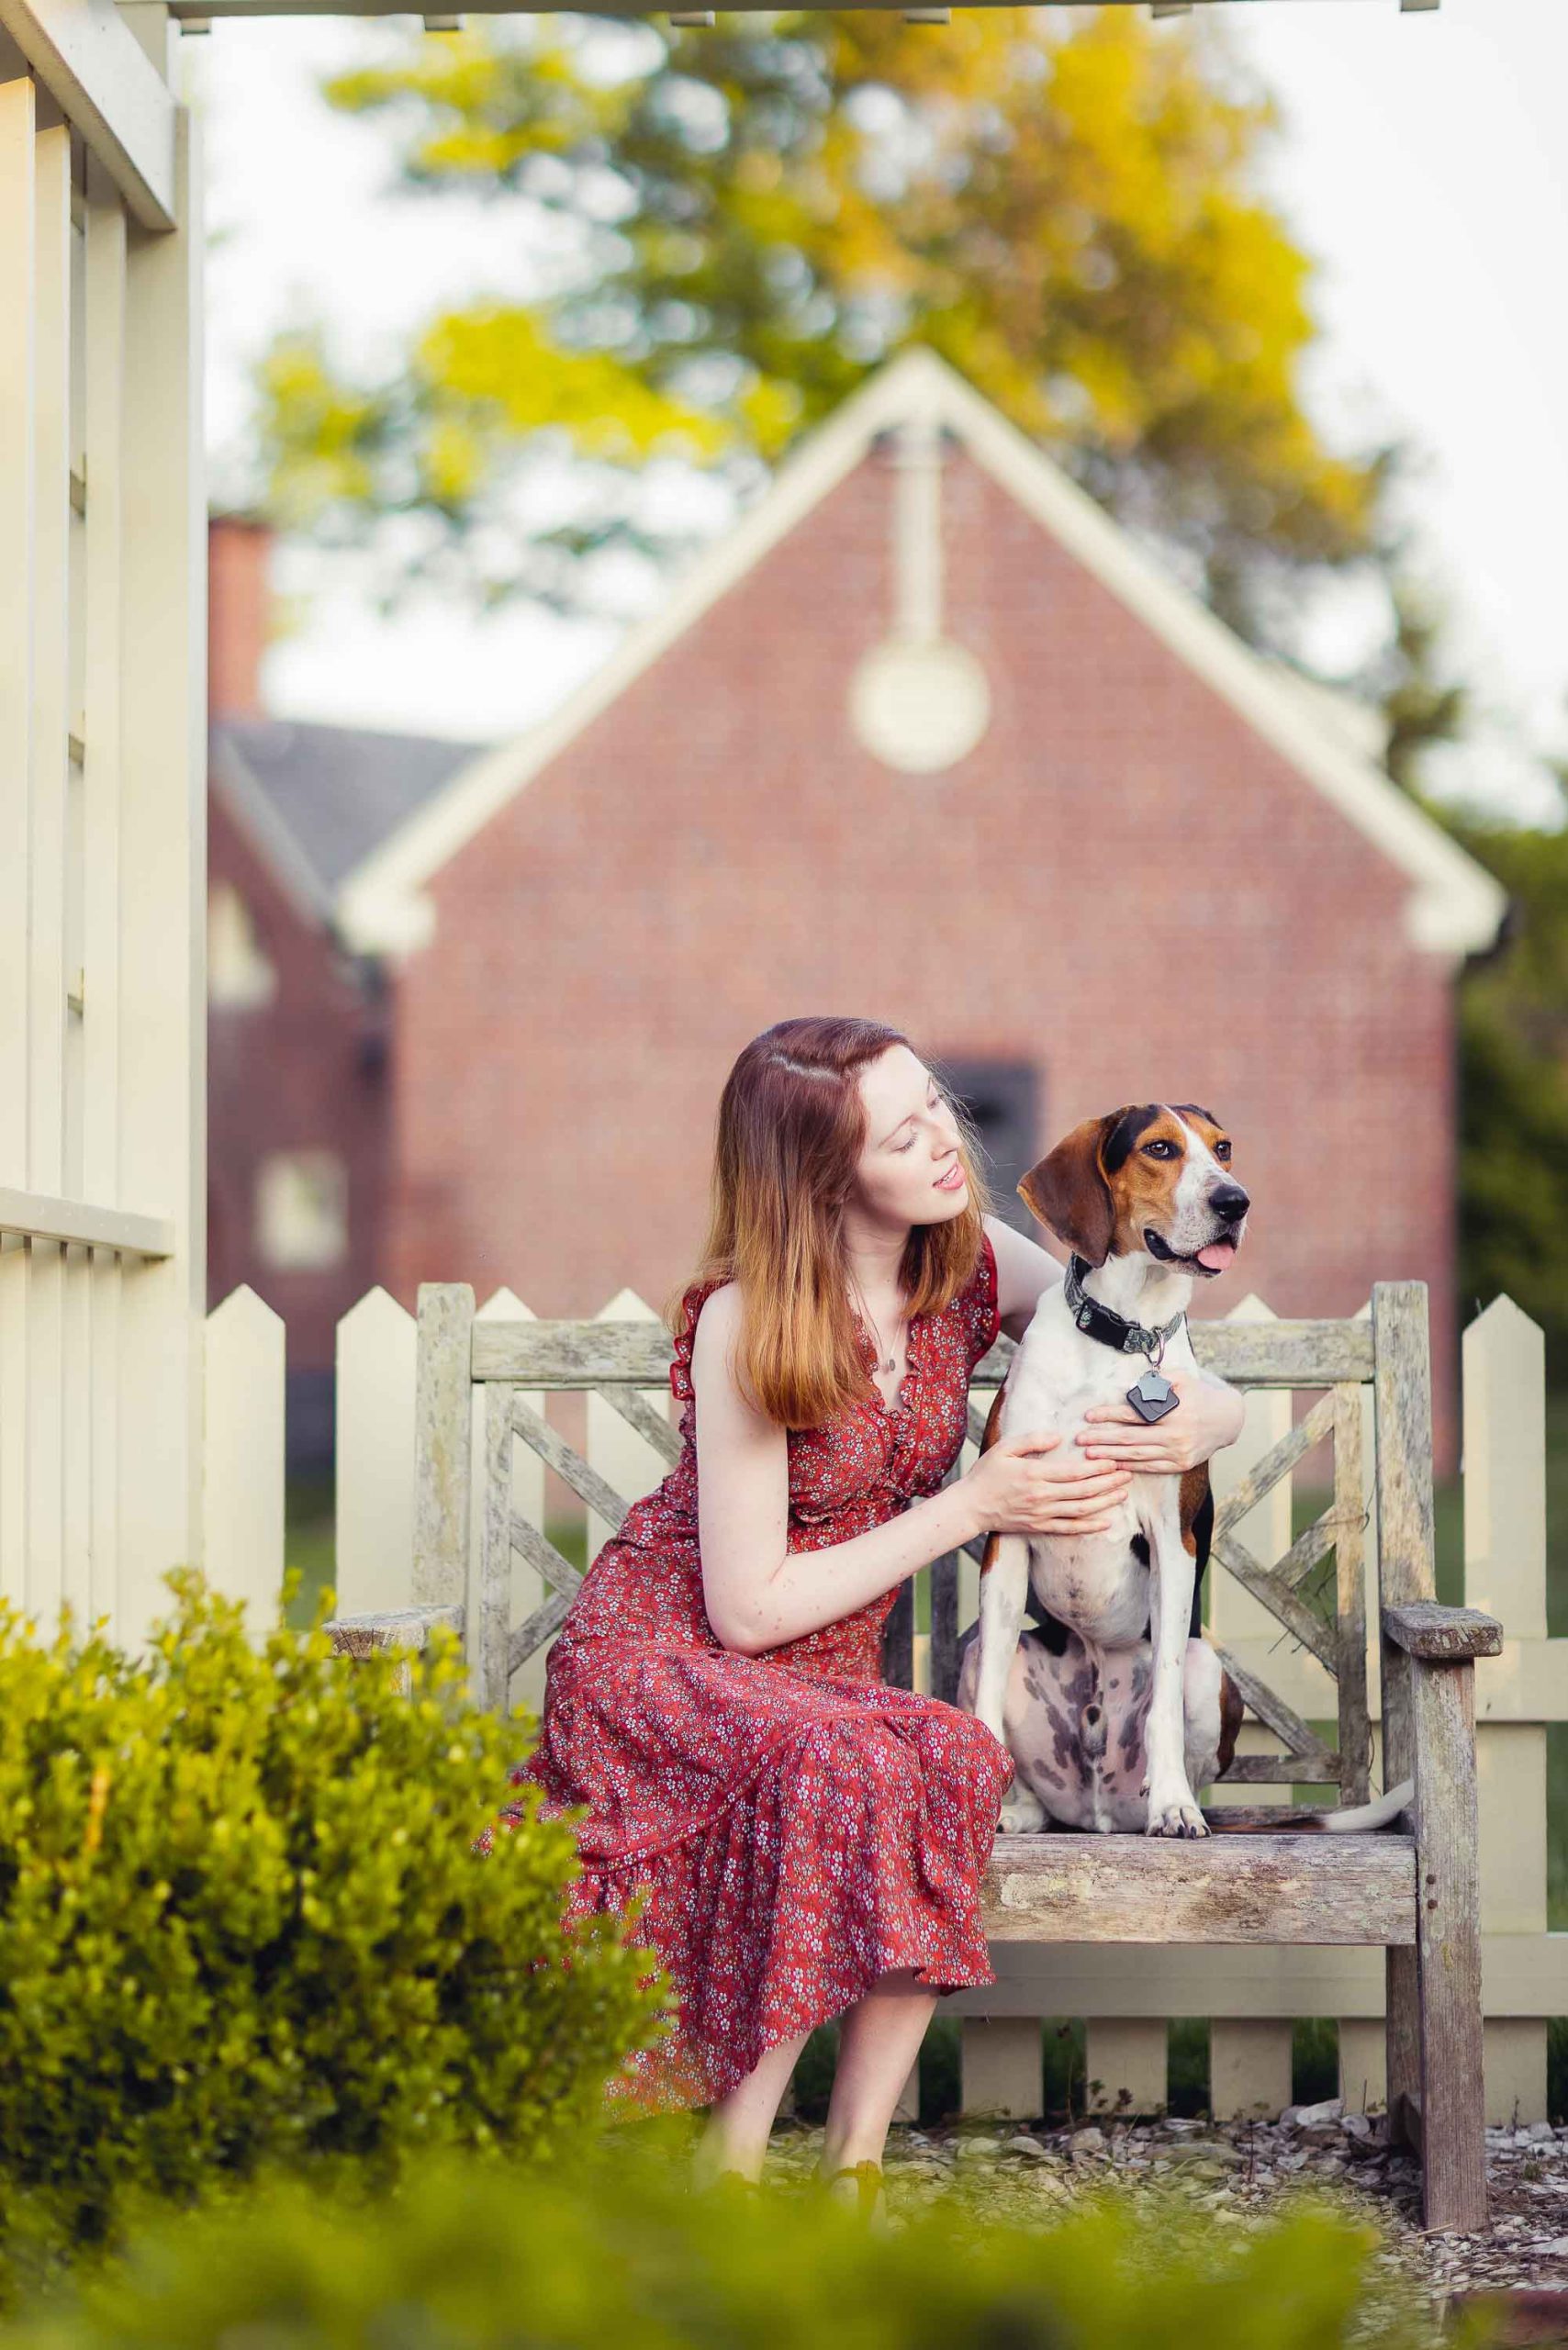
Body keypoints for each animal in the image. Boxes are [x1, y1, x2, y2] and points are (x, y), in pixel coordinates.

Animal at [963, 1100, 1419, 1832]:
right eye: (1159, 1149)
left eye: (1223, 1148)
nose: (1235, 1201)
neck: (1125, 1337)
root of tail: (1097, 1814)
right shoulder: (1009, 1535)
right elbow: (980, 1716)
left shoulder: (1171, 1541)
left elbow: (1164, 1701)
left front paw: (1173, 1807)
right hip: (983, 1651)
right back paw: (1021, 1812)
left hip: (1212, 1673)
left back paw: (1169, 1802)